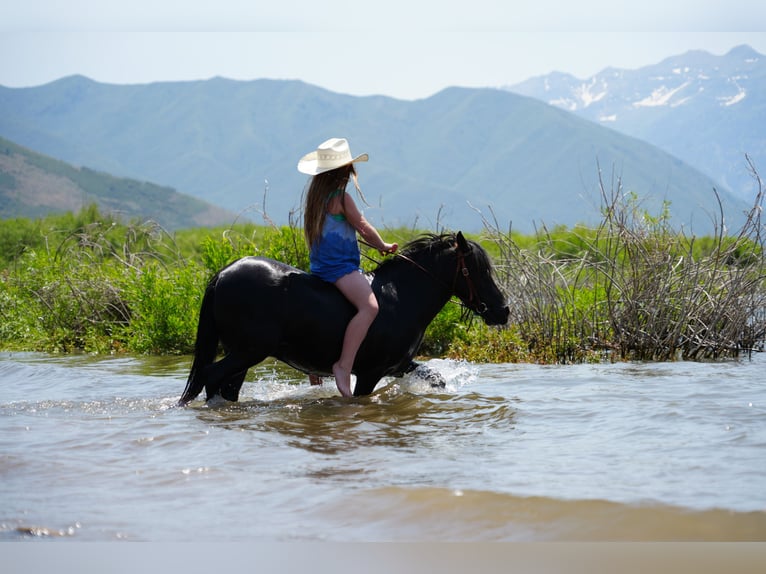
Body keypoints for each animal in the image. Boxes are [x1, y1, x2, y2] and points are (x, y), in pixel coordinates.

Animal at [177, 231, 509, 405]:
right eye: (478, 270)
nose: (503, 310)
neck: (402, 298)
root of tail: (222, 274)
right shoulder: (371, 372)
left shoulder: (399, 365)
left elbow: (436, 379)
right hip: (249, 351)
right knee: (210, 378)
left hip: (241, 353)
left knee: (222, 386)